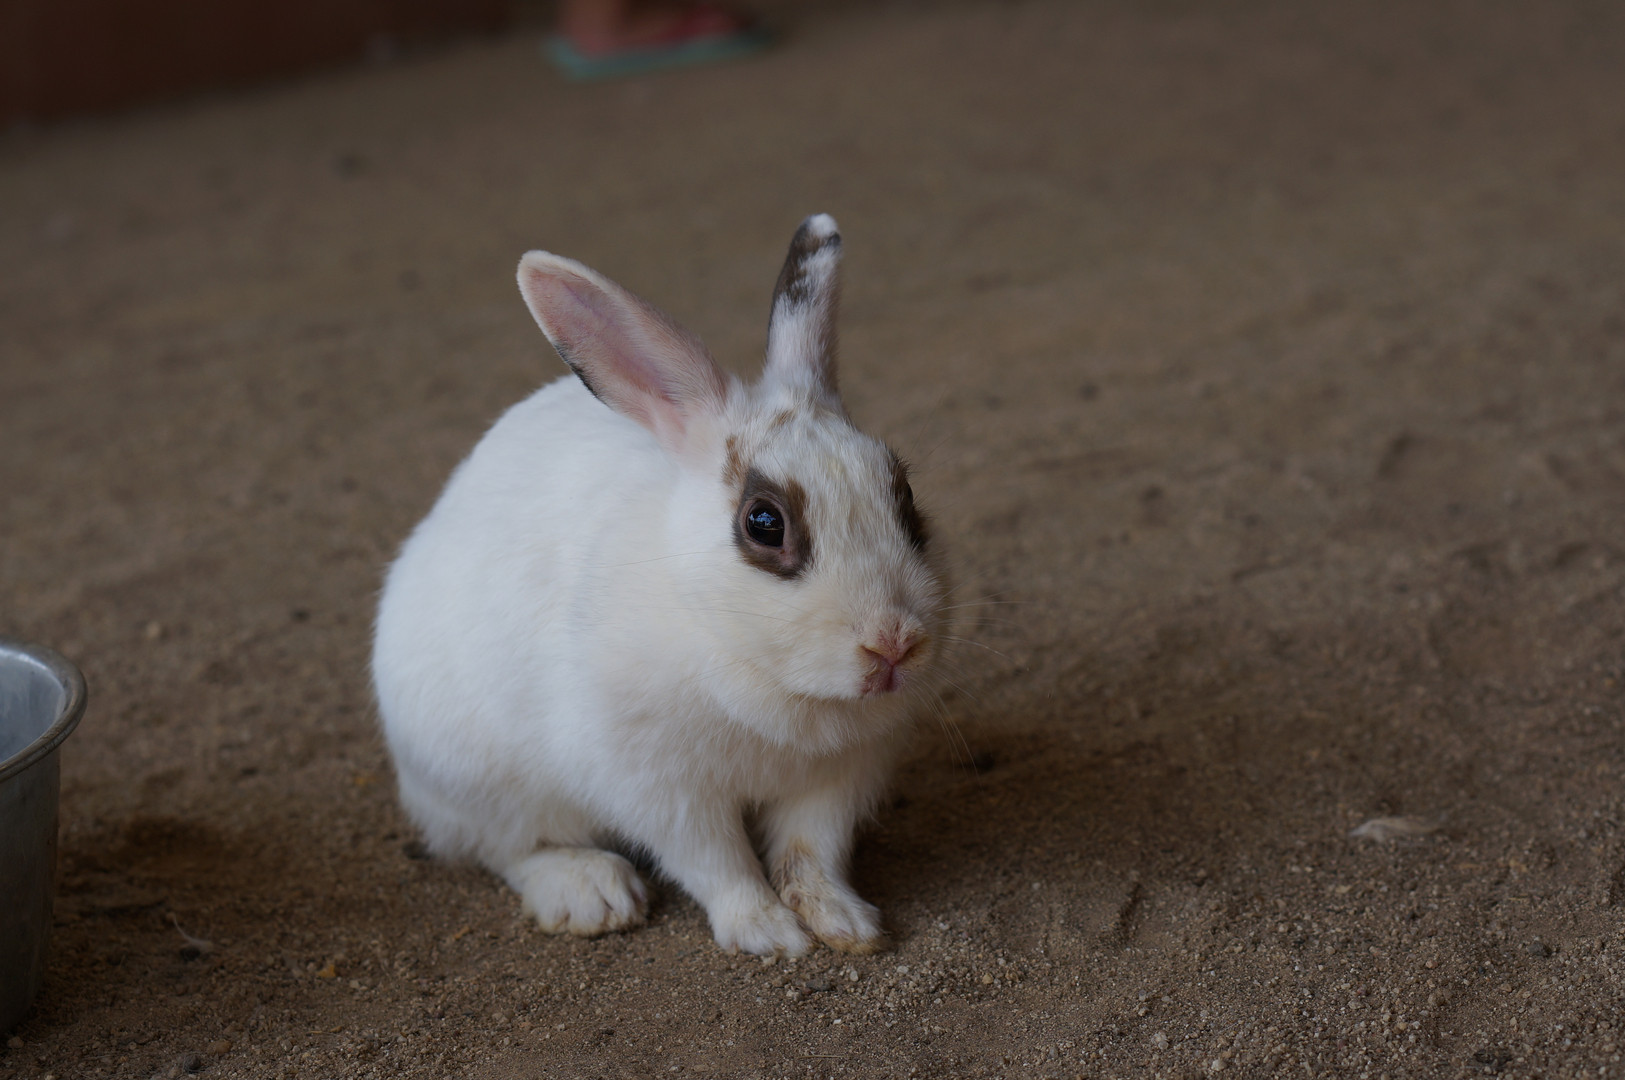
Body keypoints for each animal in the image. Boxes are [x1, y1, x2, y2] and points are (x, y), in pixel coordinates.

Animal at [371, 214, 947, 956]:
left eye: (903, 494)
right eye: (763, 523)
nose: (894, 644)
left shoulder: (836, 780)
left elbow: (809, 854)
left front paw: (846, 922)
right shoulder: (660, 786)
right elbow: (718, 863)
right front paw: (767, 934)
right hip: (481, 780)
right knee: (506, 848)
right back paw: (590, 893)